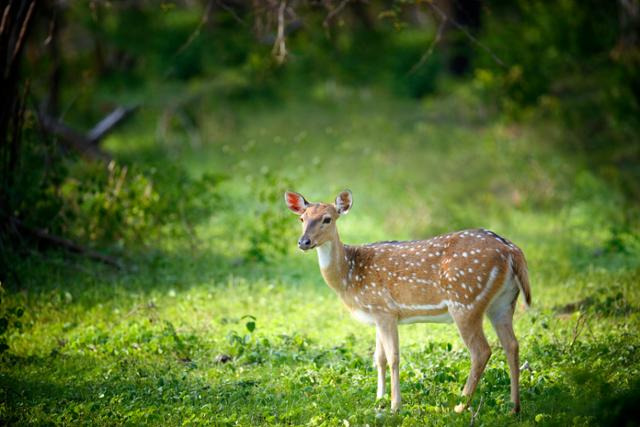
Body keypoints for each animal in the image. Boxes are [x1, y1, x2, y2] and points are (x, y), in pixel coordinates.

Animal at [284, 191, 528, 414]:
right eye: (302, 219)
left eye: (327, 219)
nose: (303, 242)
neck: (349, 275)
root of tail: (512, 250)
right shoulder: (377, 314)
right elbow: (379, 358)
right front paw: (378, 401)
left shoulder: (385, 309)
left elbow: (393, 358)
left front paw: (395, 406)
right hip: (503, 302)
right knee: (512, 344)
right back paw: (514, 408)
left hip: (466, 301)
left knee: (481, 351)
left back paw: (459, 406)